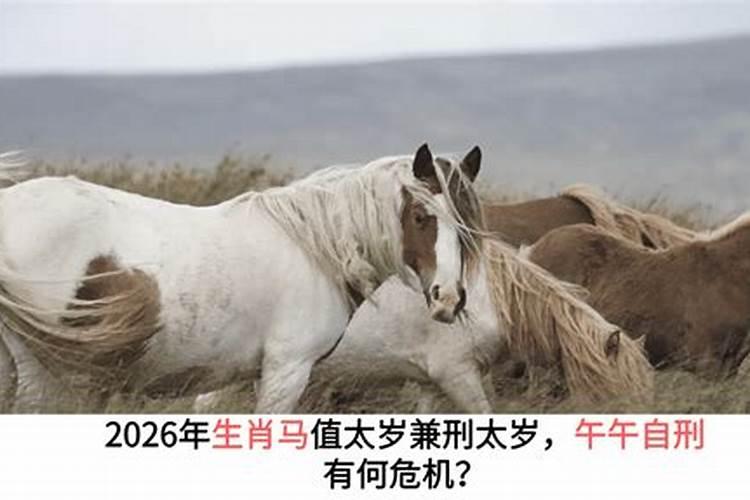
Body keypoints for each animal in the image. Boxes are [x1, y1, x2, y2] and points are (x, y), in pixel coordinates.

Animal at [0, 144, 485, 413]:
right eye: (421, 216)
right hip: (42, 368)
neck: (314, 246)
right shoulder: (287, 370)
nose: (448, 298)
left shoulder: (241, 373)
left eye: (466, 224)